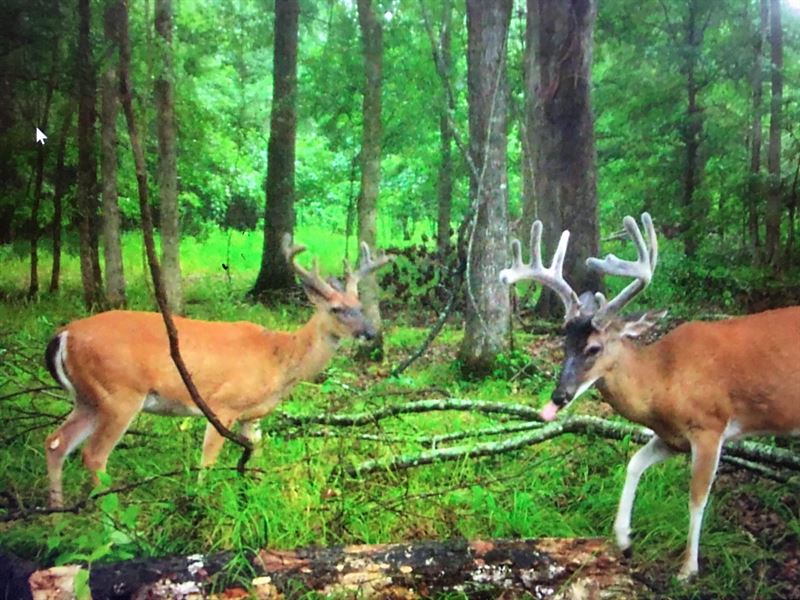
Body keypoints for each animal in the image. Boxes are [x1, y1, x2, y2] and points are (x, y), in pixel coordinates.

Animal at [43, 237, 394, 508]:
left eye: (359, 304)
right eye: (336, 309)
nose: (370, 332)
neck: (280, 359)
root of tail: (64, 335)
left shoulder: (253, 416)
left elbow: (255, 456)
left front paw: (253, 497)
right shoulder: (223, 405)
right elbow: (208, 460)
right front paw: (199, 504)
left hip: (88, 397)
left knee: (56, 442)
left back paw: (57, 516)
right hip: (120, 393)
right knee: (93, 454)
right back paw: (111, 520)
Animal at [500, 213, 800, 580]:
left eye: (594, 348)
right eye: (563, 342)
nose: (559, 396)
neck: (663, 379)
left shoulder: (710, 426)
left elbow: (696, 497)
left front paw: (688, 568)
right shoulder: (671, 436)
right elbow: (633, 464)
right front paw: (624, 539)